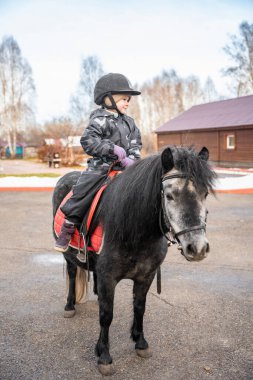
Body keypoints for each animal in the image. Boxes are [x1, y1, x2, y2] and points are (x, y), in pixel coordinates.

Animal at [52, 145, 216, 374]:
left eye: (205, 193)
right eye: (169, 195)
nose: (198, 248)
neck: (135, 232)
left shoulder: (146, 276)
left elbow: (140, 308)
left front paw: (140, 343)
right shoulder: (108, 278)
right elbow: (106, 316)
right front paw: (104, 355)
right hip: (68, 254)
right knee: (72, 272)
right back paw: (69, 306)